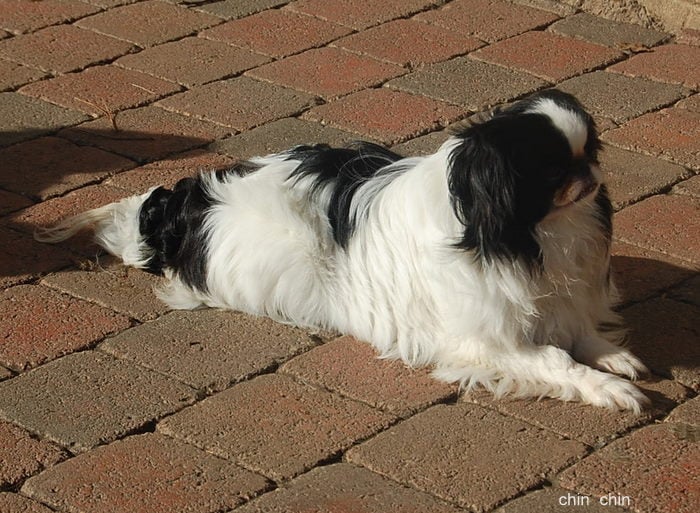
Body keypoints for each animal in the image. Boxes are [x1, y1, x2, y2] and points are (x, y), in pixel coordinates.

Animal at [37, 90, 652, 412]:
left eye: (591, 152)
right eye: (552, 171)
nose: (592, 175)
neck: (536, 231)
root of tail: (192, 201)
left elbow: (580, 331)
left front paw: (611, 354)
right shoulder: (484, 341)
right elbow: (554, 359)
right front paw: (609, 388)